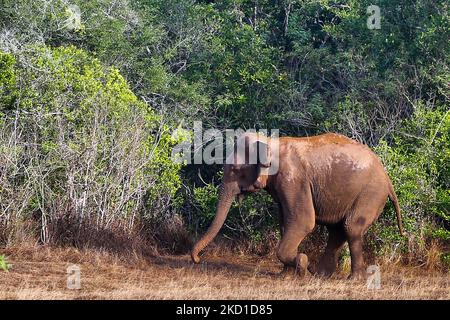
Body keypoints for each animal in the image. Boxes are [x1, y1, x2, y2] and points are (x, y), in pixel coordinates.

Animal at [191, 131, 404, 278]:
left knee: (351, 227)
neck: (270, 142)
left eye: (235, 170)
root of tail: (387, 178)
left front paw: (301, 263)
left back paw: (352, 279)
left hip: (371, 194)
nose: (198, 259)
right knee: (338, 230)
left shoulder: (293, 179)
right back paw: (321, 275)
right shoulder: (281, 185)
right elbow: (286, 222)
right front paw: (285, 275)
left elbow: (303, 221)